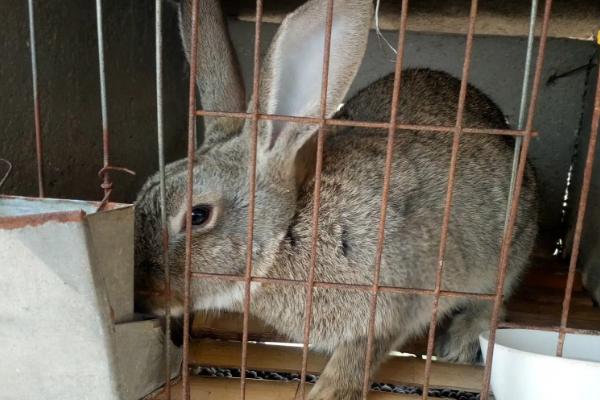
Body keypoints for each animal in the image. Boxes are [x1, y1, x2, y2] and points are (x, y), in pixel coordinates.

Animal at [136, 1, 540, 398]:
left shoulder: (392, 301)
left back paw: (461, 340)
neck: (287, 234)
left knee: (495, 301)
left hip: (506, 251)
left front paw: (327, 392)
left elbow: (359, 357)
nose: (141, 299)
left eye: (198, 215)